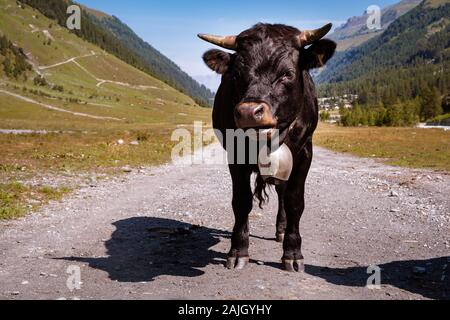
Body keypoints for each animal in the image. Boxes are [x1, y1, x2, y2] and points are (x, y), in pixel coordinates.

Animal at [199, 23, 336, 272]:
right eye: (236, 75)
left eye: (287, 73)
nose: (248, 112)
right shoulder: (235, 155)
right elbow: (241, 201)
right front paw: (238, 250)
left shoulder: (304, 154)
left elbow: (294, 201)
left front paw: (293, 253)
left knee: (282, 193)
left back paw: (281, 230)